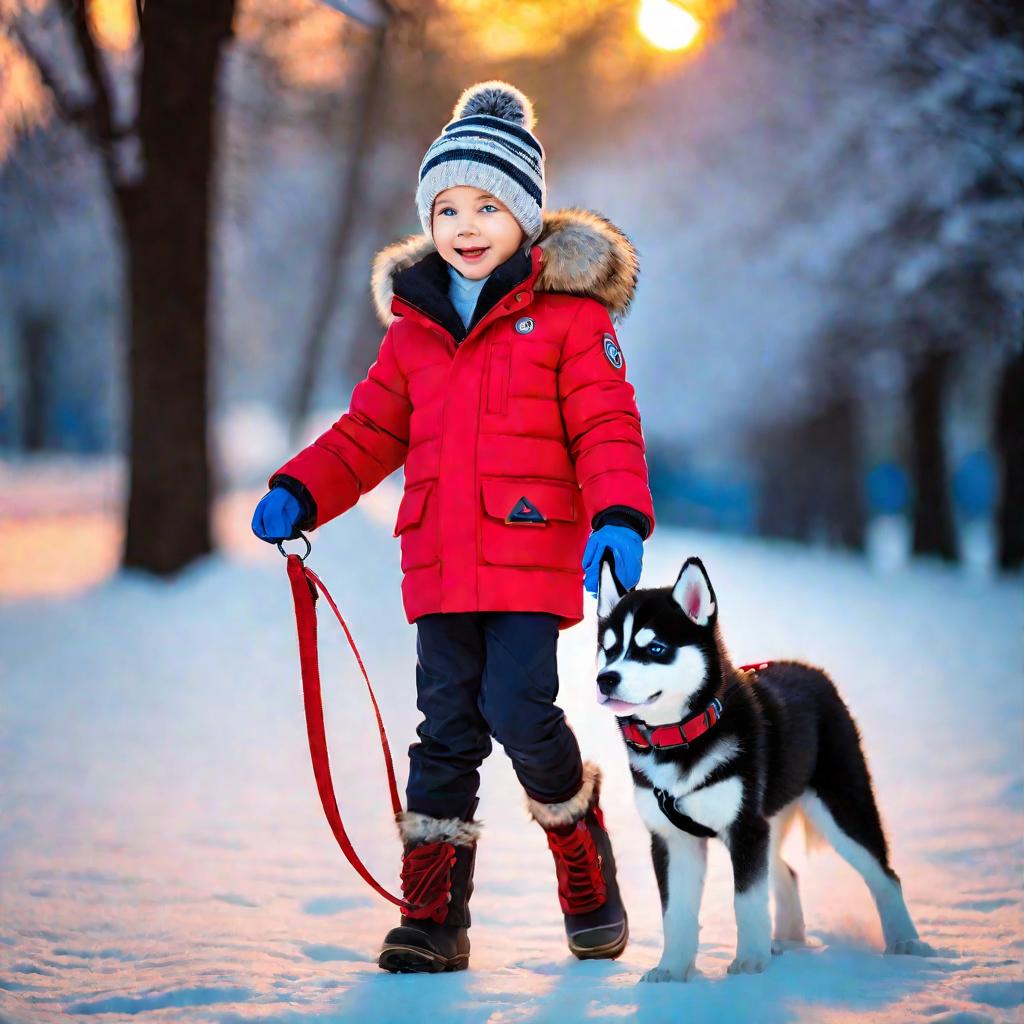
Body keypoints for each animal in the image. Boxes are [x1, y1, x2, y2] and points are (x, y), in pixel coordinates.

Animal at [593, 552, 937, 983]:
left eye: (655, 648)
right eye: (608, 649)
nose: (606, 679)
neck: (682, 734)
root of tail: (809, 670)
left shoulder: (744, 828)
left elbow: (747, 902)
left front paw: (750, 965)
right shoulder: (673, 838)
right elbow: (677, 914)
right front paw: (671, 971)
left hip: (838, 808)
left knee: (884, 874)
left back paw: (905, 943)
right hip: (771, 818)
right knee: (787, 871)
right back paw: (789, 940)